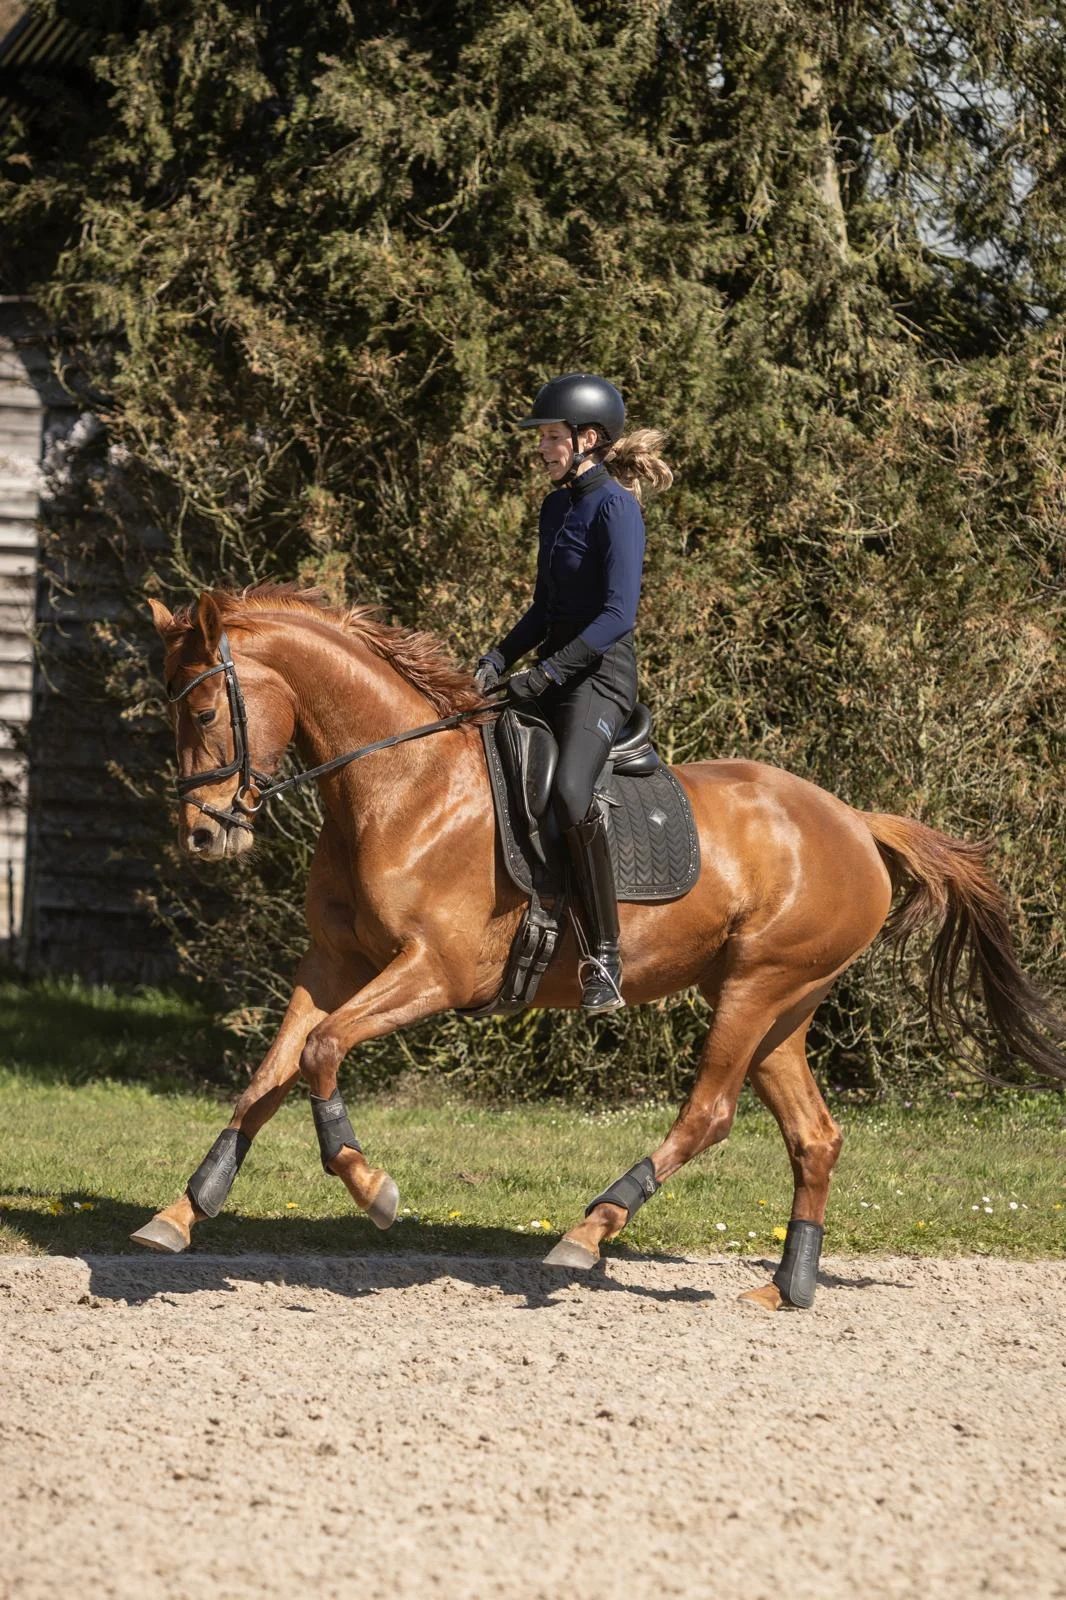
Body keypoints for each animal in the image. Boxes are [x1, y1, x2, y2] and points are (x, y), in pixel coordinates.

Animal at [131, 584, 1065, 1309]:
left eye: (206, 709)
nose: (204, 837)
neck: (403, 787)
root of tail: (856, 823)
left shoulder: (435, 973)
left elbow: (321, 1052)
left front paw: (372, 1187)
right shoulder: (332, 964)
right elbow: (270, 1073)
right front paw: (184, 1210)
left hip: (757, 988)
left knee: (708, 1114)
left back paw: (589, 1229)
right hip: (780, 1006)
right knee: (815, 1135)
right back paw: (787, 1287)